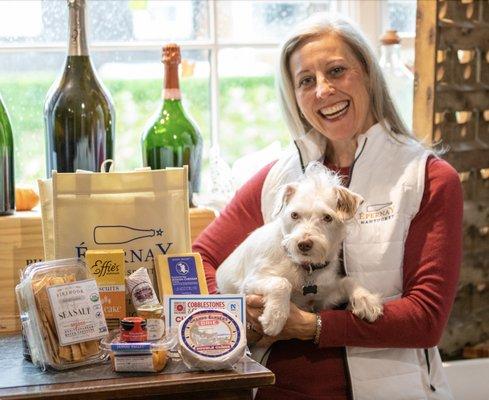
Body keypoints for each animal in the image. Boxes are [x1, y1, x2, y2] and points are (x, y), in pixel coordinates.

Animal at [216, 161, 382, 336]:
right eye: (294, 215)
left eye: (327, 217)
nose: (303, 244)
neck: (304, 266)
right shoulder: (249, 283)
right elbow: (281, 282)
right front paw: (276, 316)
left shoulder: (324, 298)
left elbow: (348, 281)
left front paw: (366, 299)